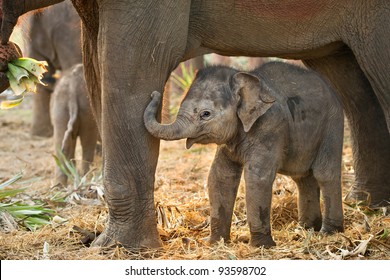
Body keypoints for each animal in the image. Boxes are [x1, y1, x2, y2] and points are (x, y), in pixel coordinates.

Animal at [144, 61, 344, 247]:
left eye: (206, 114)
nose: (155, 94)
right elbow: (220, 176)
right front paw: (215, 243)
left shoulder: (271, 126)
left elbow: (257, 177)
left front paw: (261, 246)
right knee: (303, 178)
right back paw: (305, 228)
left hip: (332, 126)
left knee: (325, 173)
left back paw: (329, 232)